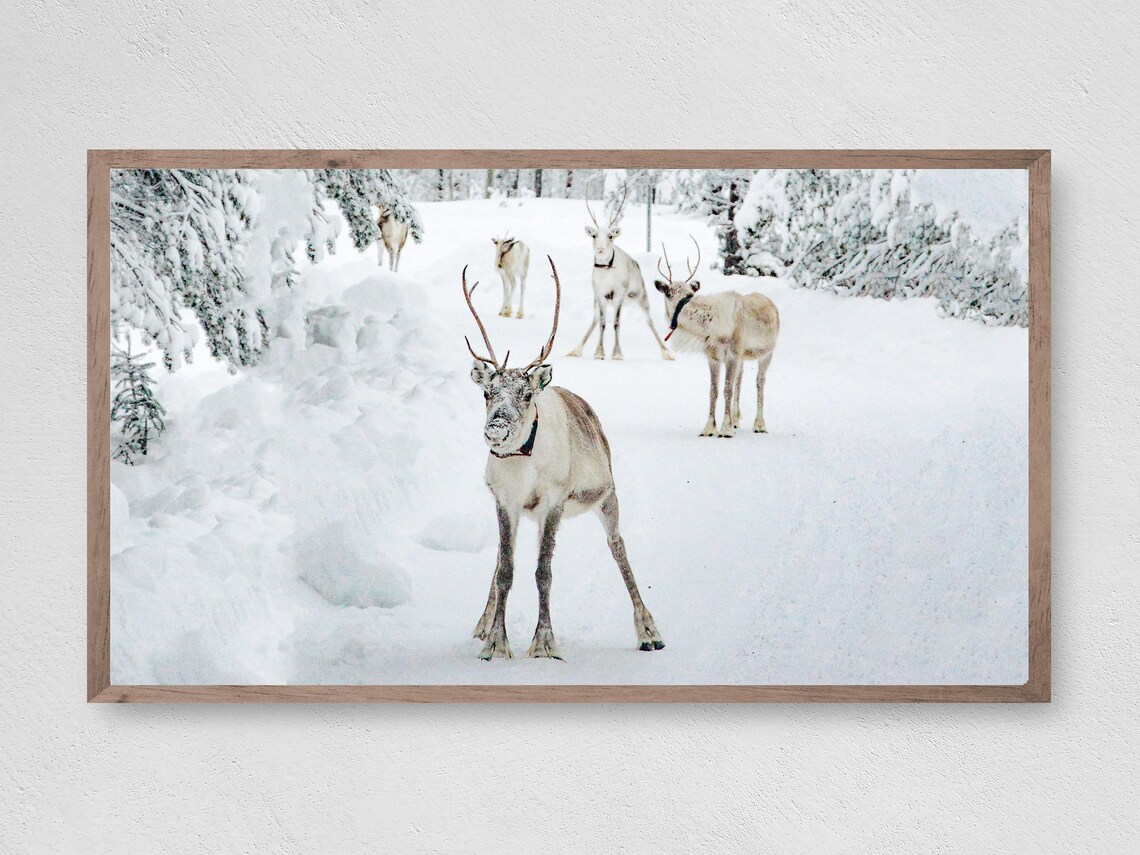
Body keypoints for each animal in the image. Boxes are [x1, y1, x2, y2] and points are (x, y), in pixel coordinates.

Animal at [463, 257, 664, 660]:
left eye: (526, 395)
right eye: (488, 393)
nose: (496, 428)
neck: (522, 464)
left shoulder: (553, 502)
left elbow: (543, 572)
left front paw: (544, 643)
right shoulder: (505, 502)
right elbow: (505, 569)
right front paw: (495, 642)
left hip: (607, 496)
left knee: (619, 548)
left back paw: (649, 632)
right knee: (501, 561)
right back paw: (481, 625)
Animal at [567, 185, 674, 361]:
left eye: (610, 236)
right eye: (594, 235)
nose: (600, 249)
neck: (606, 270)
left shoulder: (619, 295)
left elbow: (616, 323)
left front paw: (617, 353)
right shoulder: (601, 295)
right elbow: (602, 323)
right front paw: (599, 352)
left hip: (641, 298)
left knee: (649, 321)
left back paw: (667, 352)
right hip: (597, 301)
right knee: (595, 320)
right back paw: (576, 349)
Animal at [654, 237, 780, 438]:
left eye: (689, 293)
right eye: (668, 292)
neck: (710, 325)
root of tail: (772, 304)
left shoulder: (733, 354)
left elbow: (726, 389)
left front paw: (725, 429)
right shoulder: (713, 356)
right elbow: (713, 391)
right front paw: (709, 428)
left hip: (767, 353)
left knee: (759, 382)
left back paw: (759, 424)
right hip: (743, 357)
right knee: (740, 381)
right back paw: (736, 420)